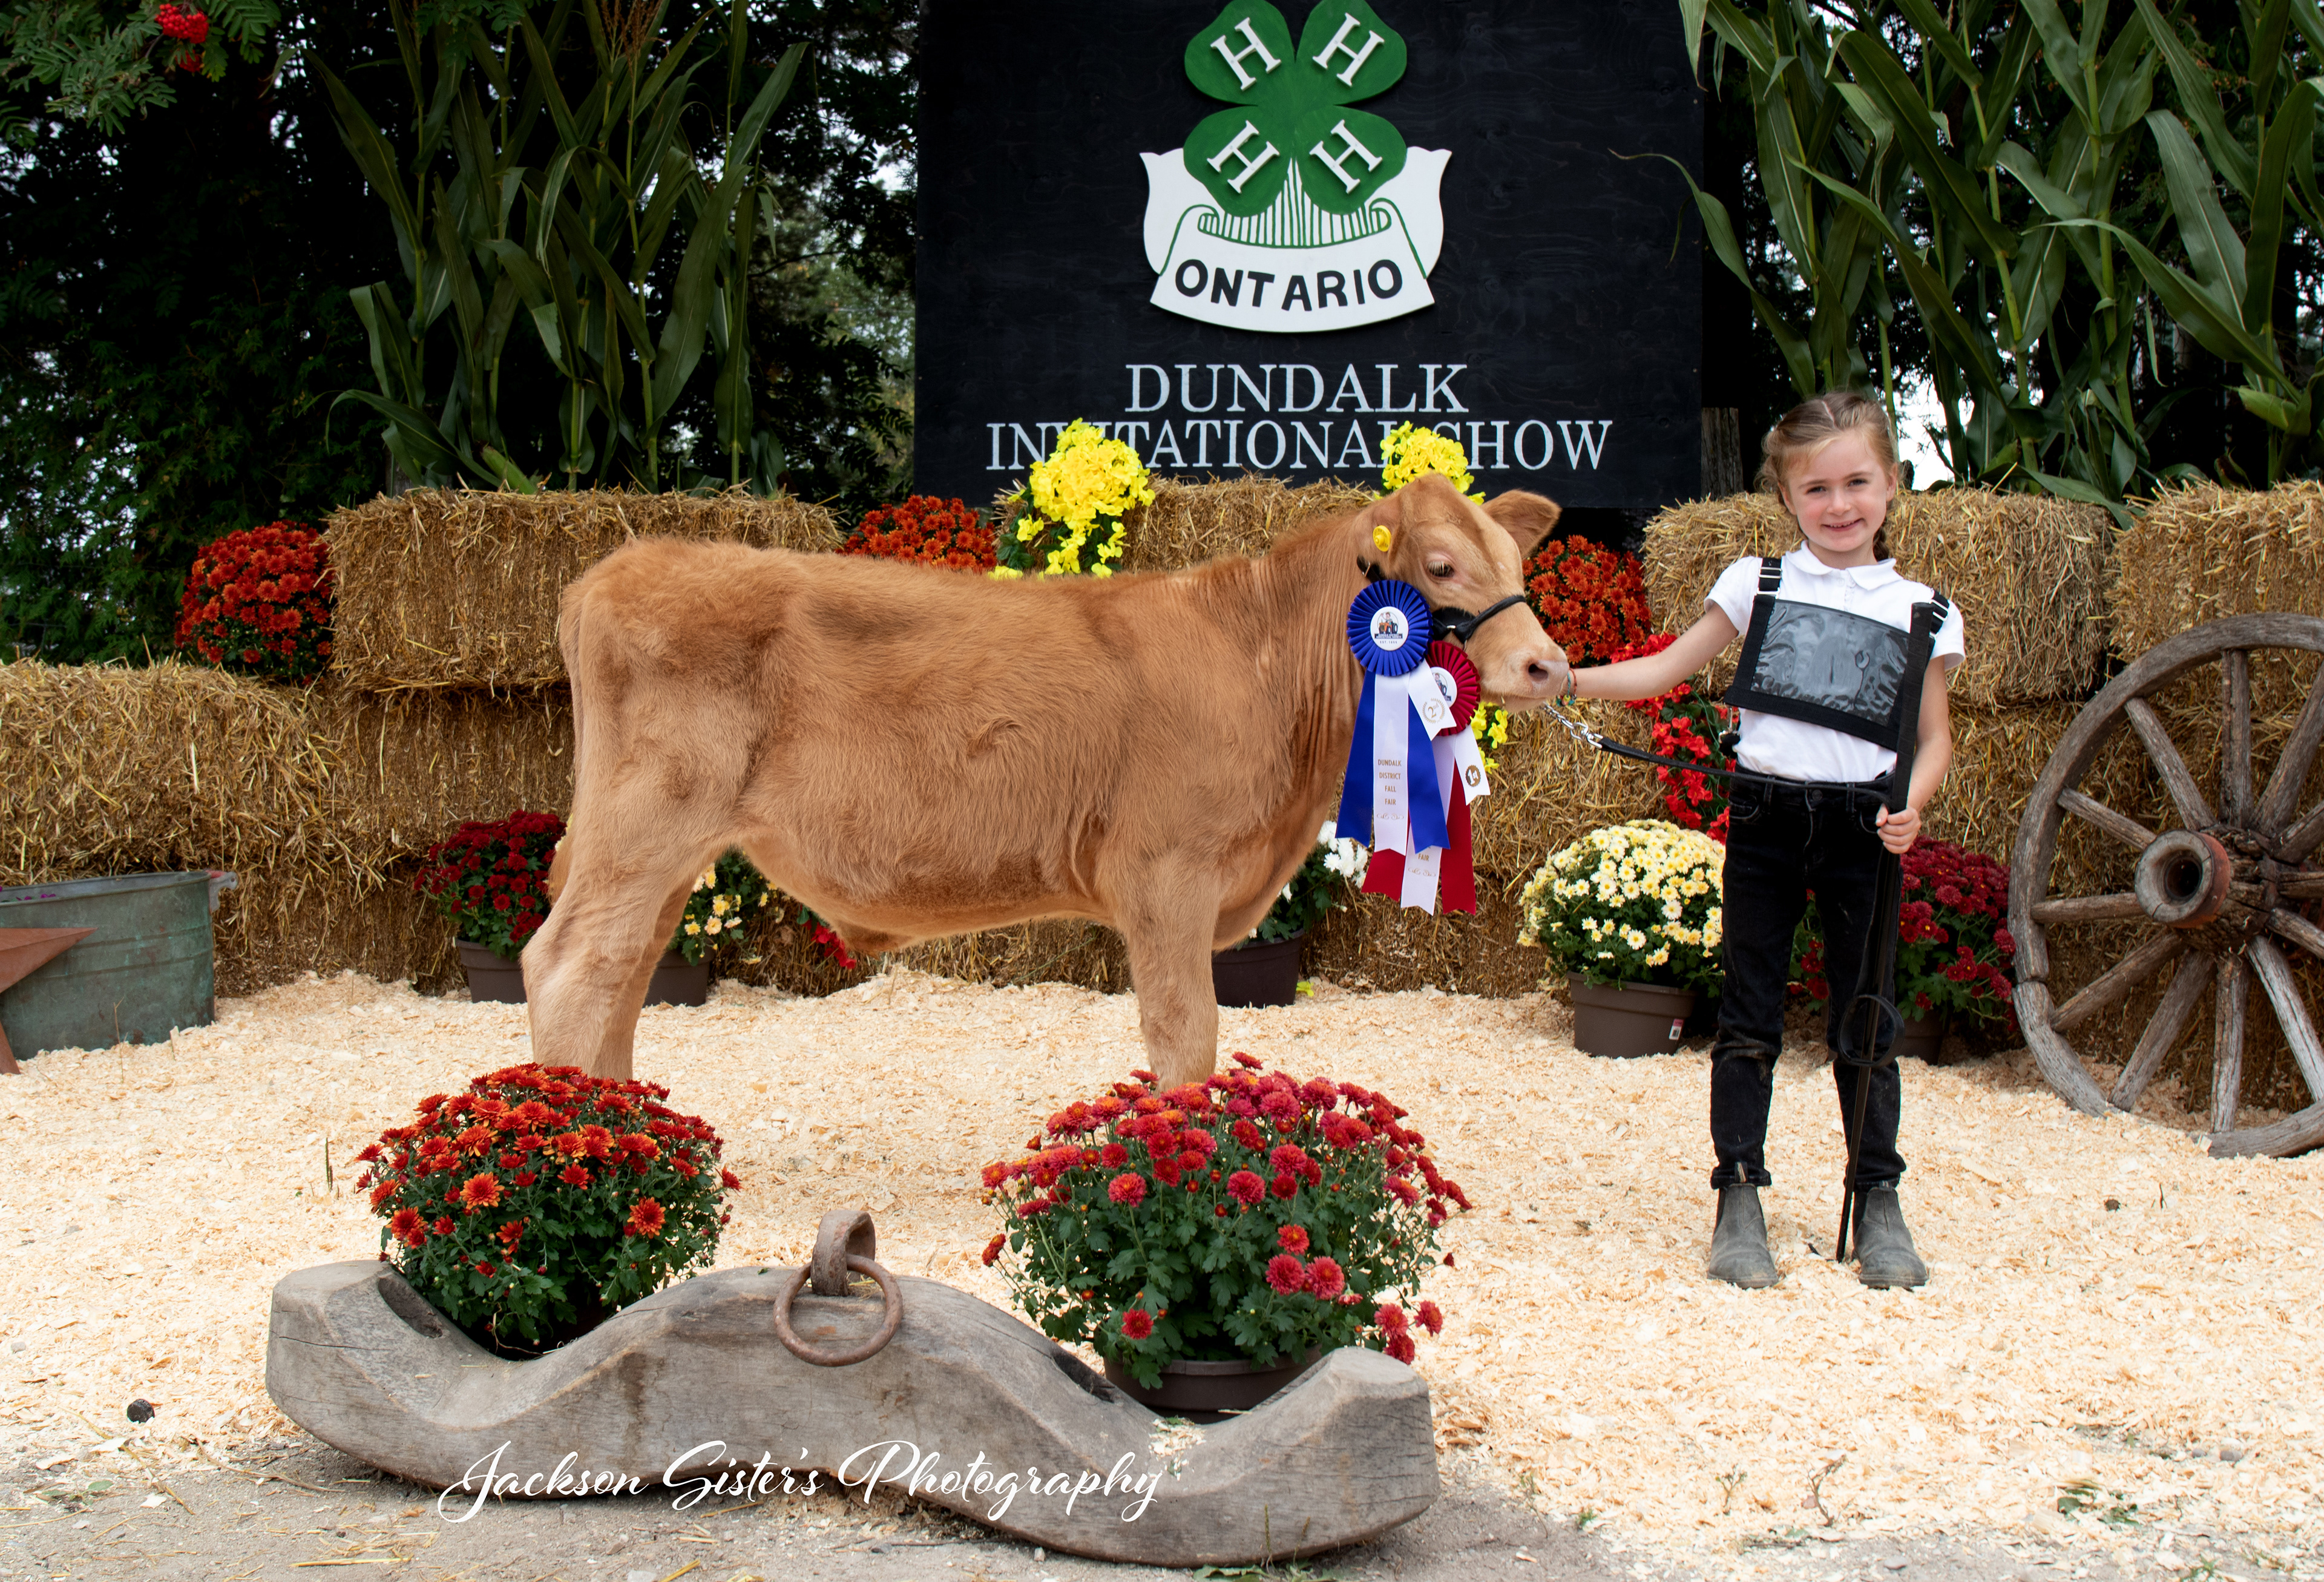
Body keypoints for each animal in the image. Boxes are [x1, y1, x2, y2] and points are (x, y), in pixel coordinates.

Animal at [525, 472, 1569, 1089]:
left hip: (661, 852)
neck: (1260, 657)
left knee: (622, 972)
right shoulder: (1167, 874)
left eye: (1517, 559)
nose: (1549, 665)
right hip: (645, 824)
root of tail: (617, 567)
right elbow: (1186, 1036)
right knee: (569, 968)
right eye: (1442, 566)